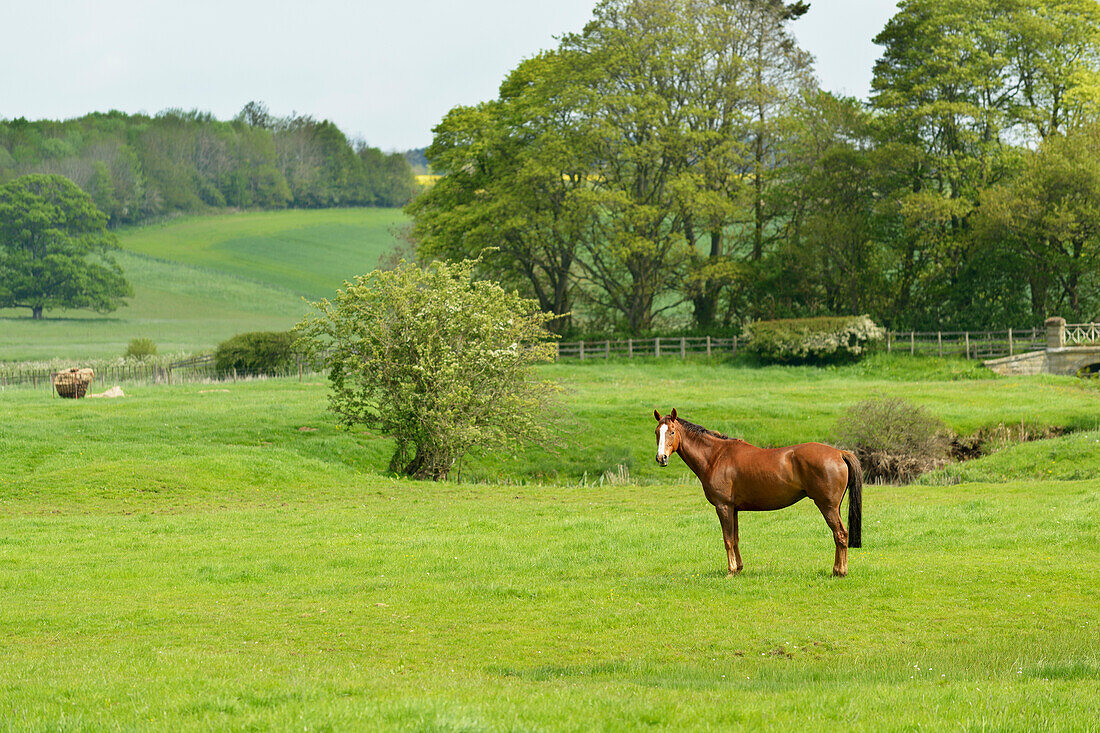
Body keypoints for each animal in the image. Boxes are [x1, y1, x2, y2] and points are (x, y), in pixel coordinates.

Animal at [651, 407, 858, 572]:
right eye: (656, 432)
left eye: (671, 432)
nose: (661, 458)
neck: (716, 456)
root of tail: (839, 453)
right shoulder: (733, 509)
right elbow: (735, 538)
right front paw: (739, 568)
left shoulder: (723, 507)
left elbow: (727, 540)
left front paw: (731, 570)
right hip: (835, 507)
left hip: (827, 506)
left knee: (840, 534)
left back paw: (839, 572)